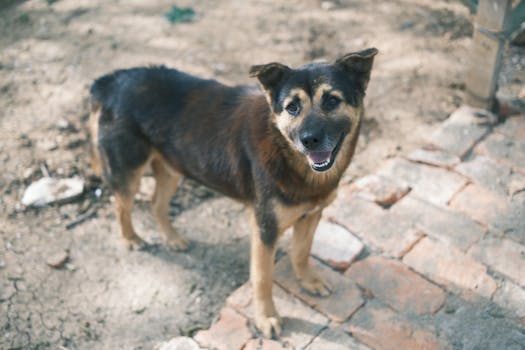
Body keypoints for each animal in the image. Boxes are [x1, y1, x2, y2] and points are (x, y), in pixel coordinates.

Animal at [89, 47, 376, 338]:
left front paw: (308, 281)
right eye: (292, 107)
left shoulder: (311, 215)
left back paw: (173, 239)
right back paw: (131, 239)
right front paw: (266, 318)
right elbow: (262, 278)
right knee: (121, 206)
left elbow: (301, 252)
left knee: (156, 203)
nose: (309, 140)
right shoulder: (265, 229)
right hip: (128, 171)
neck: (285, 151)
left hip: (173, 167)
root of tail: (113, 80)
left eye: (332, 101)